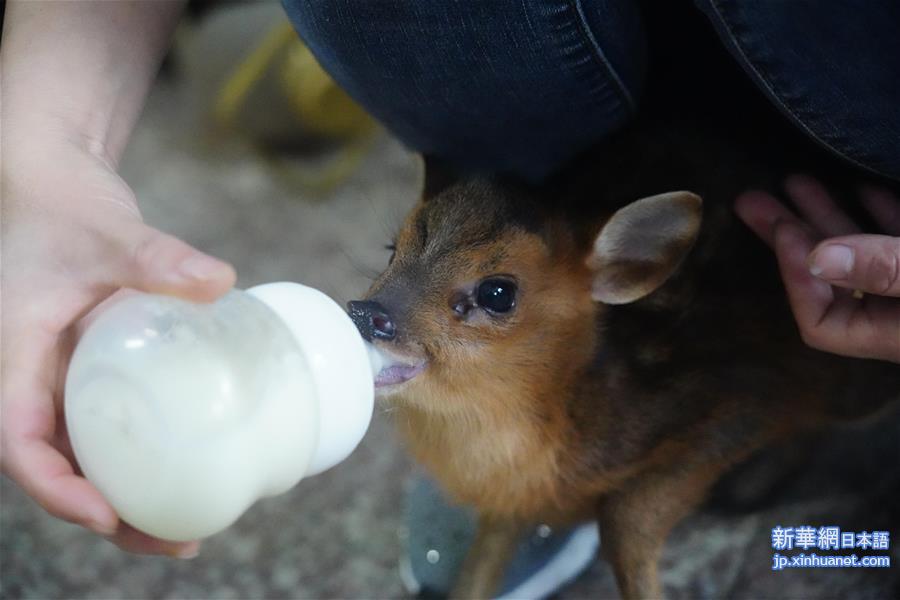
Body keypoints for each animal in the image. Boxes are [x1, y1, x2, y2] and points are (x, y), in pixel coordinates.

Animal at [348, 139, 896, 596]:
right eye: (392, 251)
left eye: (497, 292)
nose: (366, 312)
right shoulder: (511, 500)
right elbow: (486, 552)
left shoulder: (746, 401)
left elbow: (625, 515)